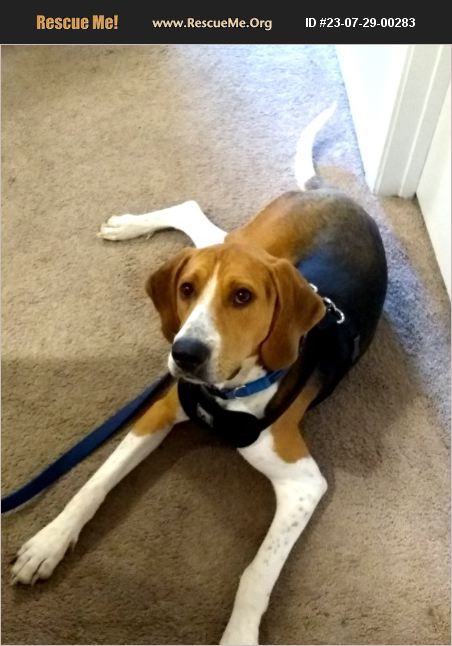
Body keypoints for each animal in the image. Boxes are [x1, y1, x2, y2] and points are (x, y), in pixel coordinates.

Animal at [11, 105, 387, 645]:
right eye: (186, 289)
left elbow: (256, 573)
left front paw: (239, 636)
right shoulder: (161, 409)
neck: (229, 392)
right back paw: (129, 226)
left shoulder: (303, 483)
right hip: (255, 239)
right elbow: (94, 483)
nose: (183, 353)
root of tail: (330, 193)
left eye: (242, 297)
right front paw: (50, 541)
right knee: (194, 215)